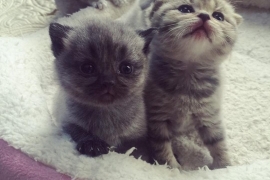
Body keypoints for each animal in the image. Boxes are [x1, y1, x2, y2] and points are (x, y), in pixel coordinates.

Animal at [48, 18, 154, 159]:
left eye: (126, 68)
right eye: (88, 68)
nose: (108, 82)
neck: (106, 112)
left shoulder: (138, 138)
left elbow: (137, 153)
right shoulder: (67, 123)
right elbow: (79, 131)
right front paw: (93, 144)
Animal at [143, 0, 243, 169]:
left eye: (218, 16)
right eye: (185, 9)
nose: (204, 16)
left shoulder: (211, 116)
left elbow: (218, 142)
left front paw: (224, 166)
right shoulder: (156, 117)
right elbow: (162, 147)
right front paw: (172, 168)